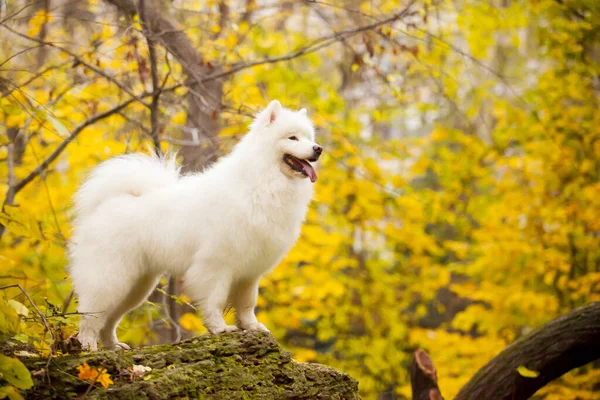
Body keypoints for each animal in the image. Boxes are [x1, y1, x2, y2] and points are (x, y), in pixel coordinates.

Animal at [69, 101, 324, 350]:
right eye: (292, 138)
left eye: (309, 137)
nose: (318, 148)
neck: (262, 183)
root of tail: (110, 202)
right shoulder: (215, 264)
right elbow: (215, 300)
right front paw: (220, 328)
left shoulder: (250, 272)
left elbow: (247, 303)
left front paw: (252, 326)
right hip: (111, 277)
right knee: (91, 315)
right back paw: (89, 343)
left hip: (137, 285)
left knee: (110, 319)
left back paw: (113, 345)